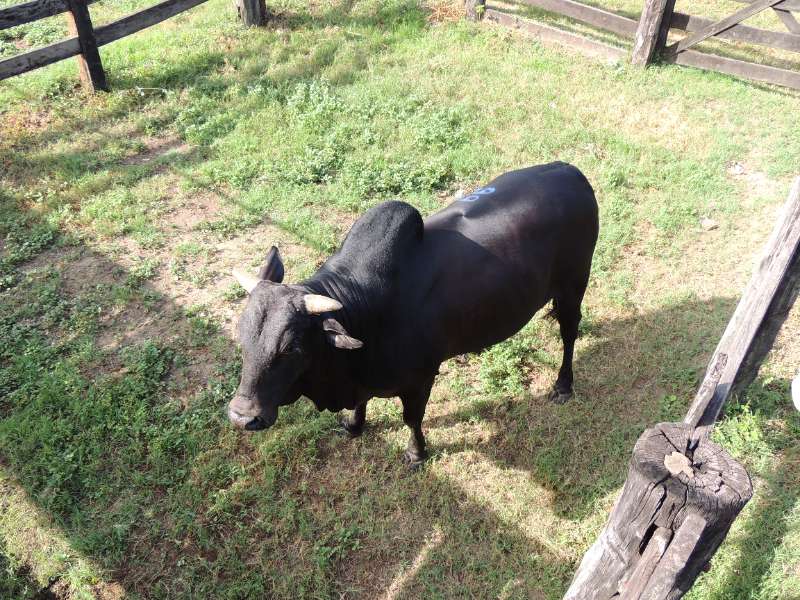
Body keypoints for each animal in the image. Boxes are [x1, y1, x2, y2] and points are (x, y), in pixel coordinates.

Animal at [228, 162, 598, 468]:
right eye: (242, 338)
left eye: (291, 348)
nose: (242, 417)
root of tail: (572, 172)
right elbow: (361, 404)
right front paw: (354, 425)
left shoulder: (420, 378)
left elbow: (412, 419)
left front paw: (416, 453)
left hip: (574, 284)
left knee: (569, 332)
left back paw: (563, 385)